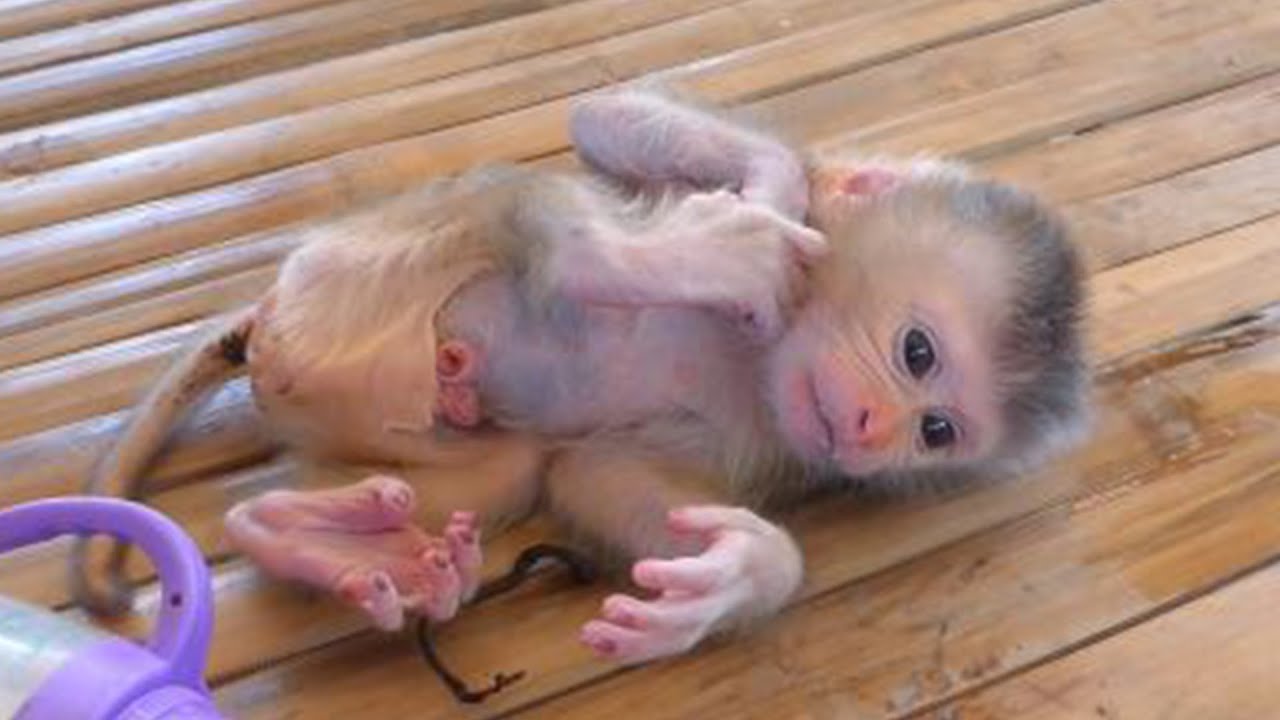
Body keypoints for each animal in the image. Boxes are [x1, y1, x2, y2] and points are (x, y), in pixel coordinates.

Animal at [69, 86, 1087, 665]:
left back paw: (307, 540)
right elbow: (608, 121)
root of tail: (269, 325)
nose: (875, 428)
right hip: (364, 273)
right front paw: (772, 196)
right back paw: (630, 256)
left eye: (938, 429)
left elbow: (600, 475)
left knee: (506, 465)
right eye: (916, 352)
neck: (764, 359)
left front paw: (739, 574)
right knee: (532, 214)